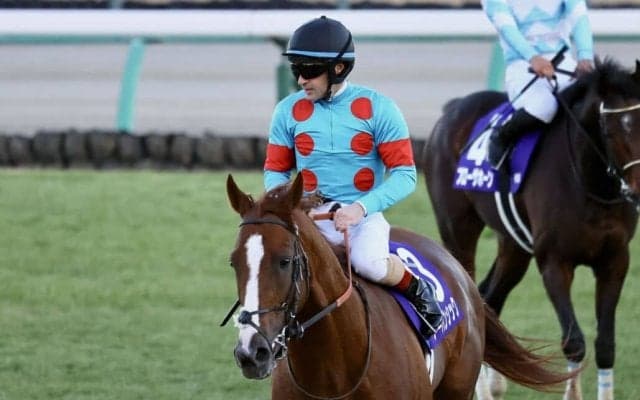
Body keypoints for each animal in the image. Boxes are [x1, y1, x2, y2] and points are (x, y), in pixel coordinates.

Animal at [423, 58, 640, 400]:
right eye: (610, 128)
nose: (638, 189)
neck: (588, 183)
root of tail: (452, 108)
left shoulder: (615, 260)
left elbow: (606, 345)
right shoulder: (554, 262)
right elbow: (574, 342)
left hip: (513, 246)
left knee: (490, 296)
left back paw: (495, 384)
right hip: (457, 230)